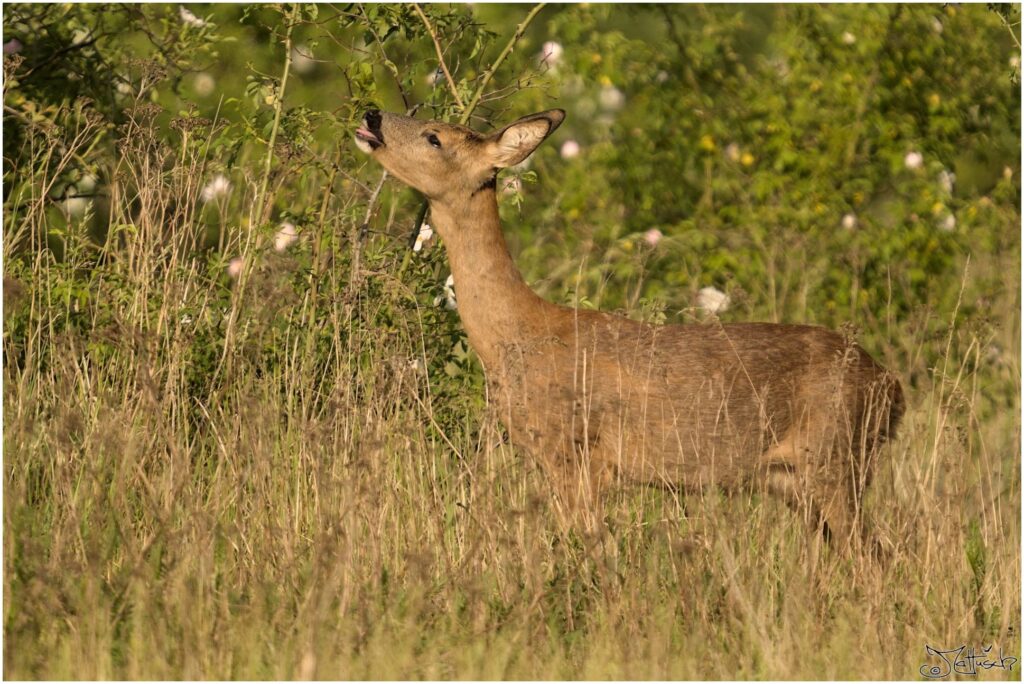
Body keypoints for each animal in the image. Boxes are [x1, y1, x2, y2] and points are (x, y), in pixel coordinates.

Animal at [354, 104, 905, 548]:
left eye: (434, 137)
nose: (372, 115)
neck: (519, 336)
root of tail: (891, 386)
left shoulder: (577, 452)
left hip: (837, 459)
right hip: (801, 483)